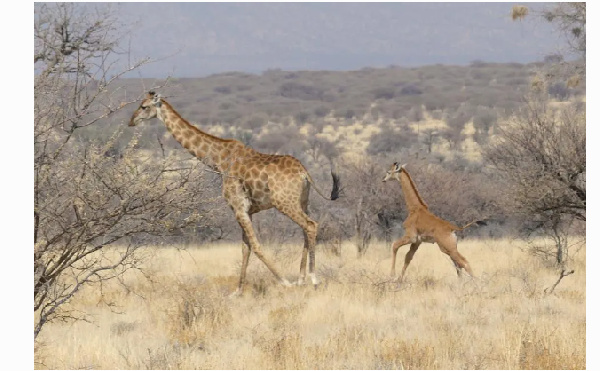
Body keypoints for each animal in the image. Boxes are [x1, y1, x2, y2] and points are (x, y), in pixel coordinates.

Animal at [129, 91, 340, 294]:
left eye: (143, 106)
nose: (131, 121)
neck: (219, 160)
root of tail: (304, 172)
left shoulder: (238, 208)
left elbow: (255, 245)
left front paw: (285, 283)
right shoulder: (247, 210)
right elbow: (245, 248)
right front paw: (238, 291)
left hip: (284, 202)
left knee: (310, 225)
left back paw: (312, 278)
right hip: (302, 201)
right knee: (306, 229)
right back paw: (301, 278)